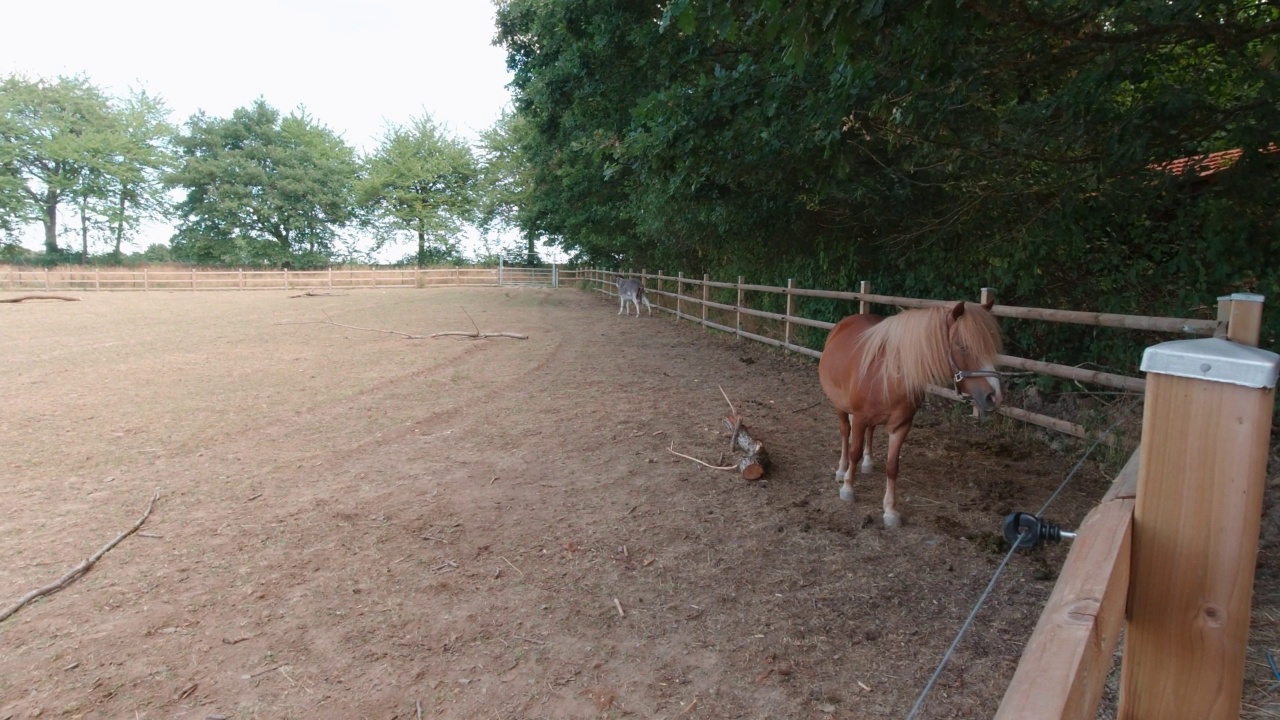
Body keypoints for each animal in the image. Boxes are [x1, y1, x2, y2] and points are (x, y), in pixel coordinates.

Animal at [819, 299, 998, 525]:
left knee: (870, 433)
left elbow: (892, 466)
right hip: (840, 407)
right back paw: (842, 470)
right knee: (845, 434)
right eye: (963, 346)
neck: (890, 374)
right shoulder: (859, 418)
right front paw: (848, 488)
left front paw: (890, 510)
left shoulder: (902, 425)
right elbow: (854, 452)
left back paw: (868, 463)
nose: (994, 395)